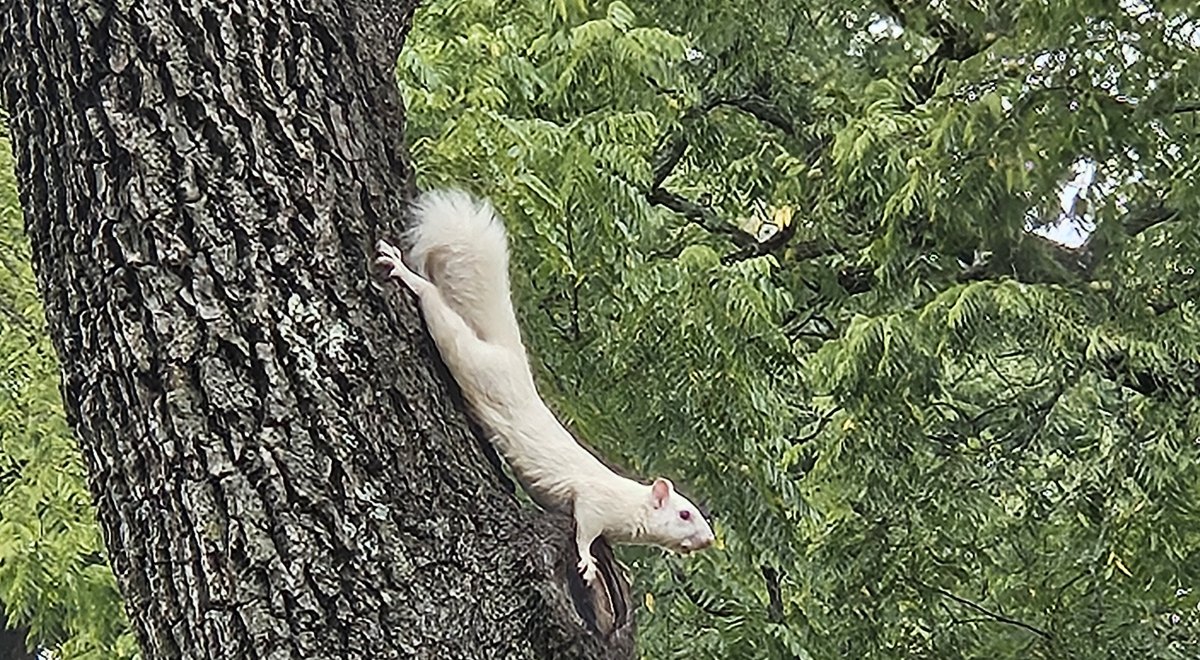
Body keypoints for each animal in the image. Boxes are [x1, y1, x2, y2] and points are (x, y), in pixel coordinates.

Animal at [375, 189, 715, 583]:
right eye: (684, 513)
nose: (709, 539)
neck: (631, 501)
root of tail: (510, 354)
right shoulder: (595, 502)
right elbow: (584, 530)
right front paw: (587, 562)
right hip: (472, 359)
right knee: (435, 305)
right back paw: (402, 270)